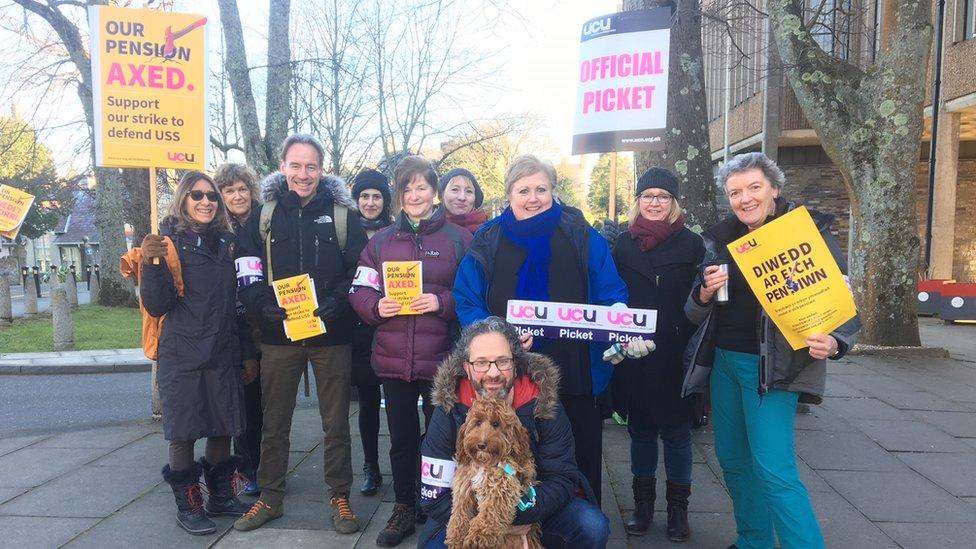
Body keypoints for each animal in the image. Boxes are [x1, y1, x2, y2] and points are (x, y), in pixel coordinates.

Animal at [448, 396, 544, 544]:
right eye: (478, 422)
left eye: (496, 424)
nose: (481, 445)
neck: (485, 463)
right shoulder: (464, 487)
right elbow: (459, 512)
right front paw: (456, 537)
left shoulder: (503, 485)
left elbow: (490, 512)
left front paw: (477, 536)